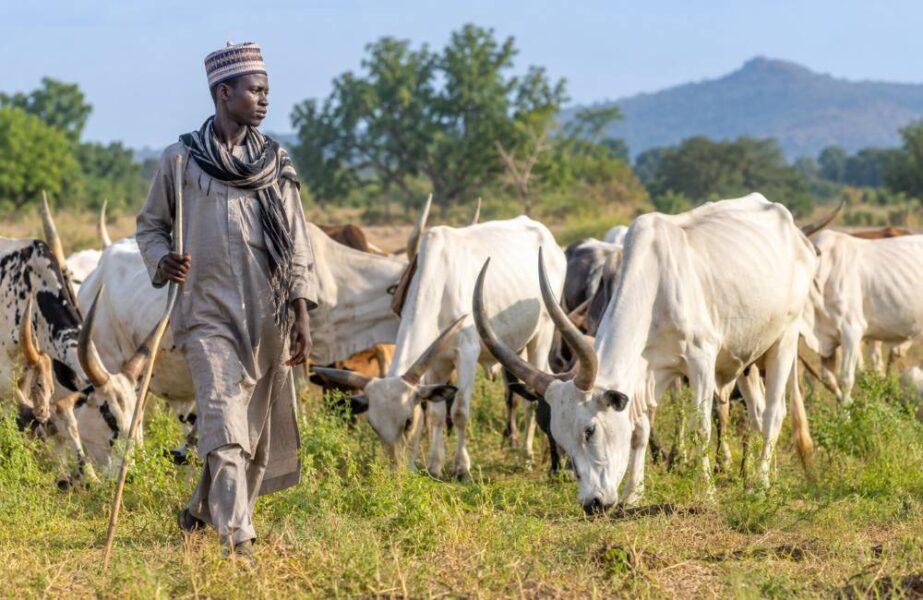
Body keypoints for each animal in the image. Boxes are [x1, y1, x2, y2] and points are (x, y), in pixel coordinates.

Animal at [314, 216, 567, 480]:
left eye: (408, 421)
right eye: (374, 426)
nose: (396, 473)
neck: (439, 283)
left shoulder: (467, 353)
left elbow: (459, 412)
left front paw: (462, 469)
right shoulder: (436, 362)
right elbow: (435, 414)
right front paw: (434, 466)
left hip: (542, 335)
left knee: (533, 399)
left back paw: (528, 456)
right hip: (514, 346)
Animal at [474, 195, 818, 513]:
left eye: (589, 430)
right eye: (559, 436)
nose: (593, 503)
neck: (655, 287)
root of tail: (794, 231)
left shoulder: (701, 361)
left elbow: (701, 427)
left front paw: (705, 492)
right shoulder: (650, 371)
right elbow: (639, 430)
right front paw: (633, 494)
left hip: (784, 340)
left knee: (773, 414)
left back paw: (759, 485)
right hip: (749, 359)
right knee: (758, 413)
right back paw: (765, 476)